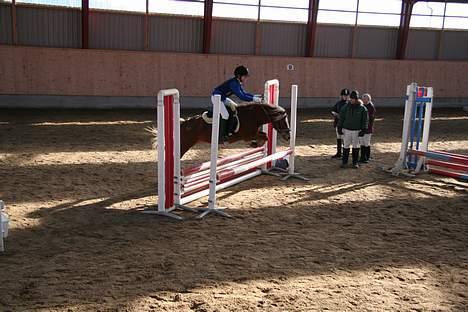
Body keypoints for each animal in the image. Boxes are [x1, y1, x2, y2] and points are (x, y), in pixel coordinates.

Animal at [151, 103, 288, 158]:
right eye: (283, 120)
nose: (288, 136)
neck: (253, 115)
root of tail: (184, 123)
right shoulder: (247, 135)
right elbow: (264, 136)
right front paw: (256, 144)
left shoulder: (252, 134)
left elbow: (264, 135)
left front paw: (256, 144)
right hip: (185, 143)